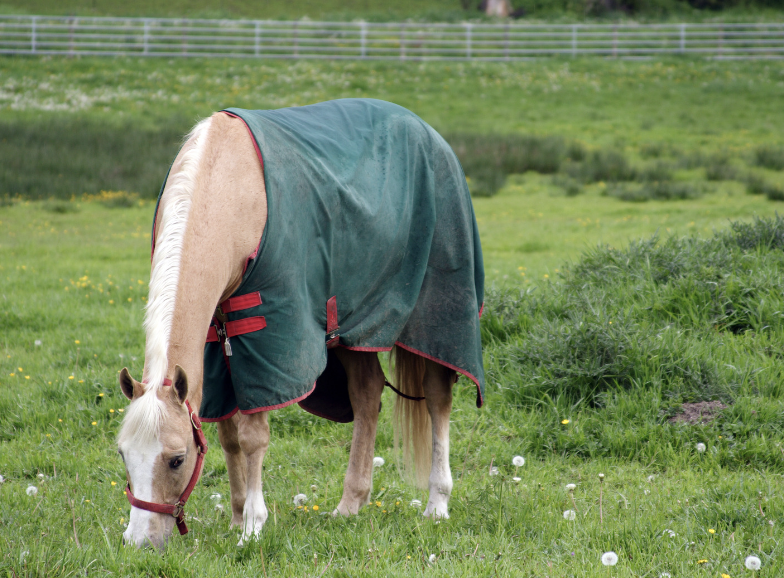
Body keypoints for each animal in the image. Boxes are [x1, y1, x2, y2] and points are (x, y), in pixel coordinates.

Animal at [116, 100, 484, 548]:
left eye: (176, 460)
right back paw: (351, 503)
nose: (139, 541)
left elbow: (253, 436)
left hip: (433, 319)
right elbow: (227, 434)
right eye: (123, 454)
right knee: (367, 394)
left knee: (436, 397)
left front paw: (253, 526)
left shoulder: (268, 334)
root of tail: (430, 133)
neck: (230, 189)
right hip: (354, 331)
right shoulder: (217, 340)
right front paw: (237, 516)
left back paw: (437, 502)